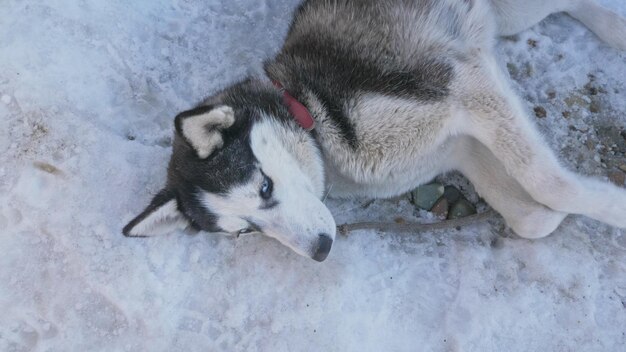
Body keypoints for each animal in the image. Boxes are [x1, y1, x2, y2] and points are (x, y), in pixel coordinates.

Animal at [122, 0, 624, 262]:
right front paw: (544, 215)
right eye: (245, 231)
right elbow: (532, 219)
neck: (311, 112)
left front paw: (614, 207)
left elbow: (550, 182)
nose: (321, 250)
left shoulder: (463, 81)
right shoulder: (455, 146)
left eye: (264, 186)